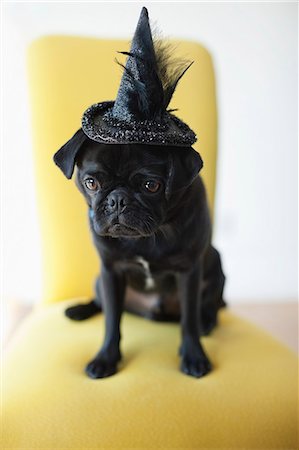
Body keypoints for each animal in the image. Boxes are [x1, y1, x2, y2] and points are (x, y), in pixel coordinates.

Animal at [53, 128, 225, 378]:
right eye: (91, 183)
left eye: (151, 185)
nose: (117, 199)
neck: (147, 237)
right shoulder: (111, 271)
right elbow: (112, 320)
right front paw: (106, 358)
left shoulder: (189, 272)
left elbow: (189, 320)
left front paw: (194, 356)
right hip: (99, 280)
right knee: (101, 302)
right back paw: (80, 310)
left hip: (217, 267)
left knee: (212, 302)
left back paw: (207, 322)